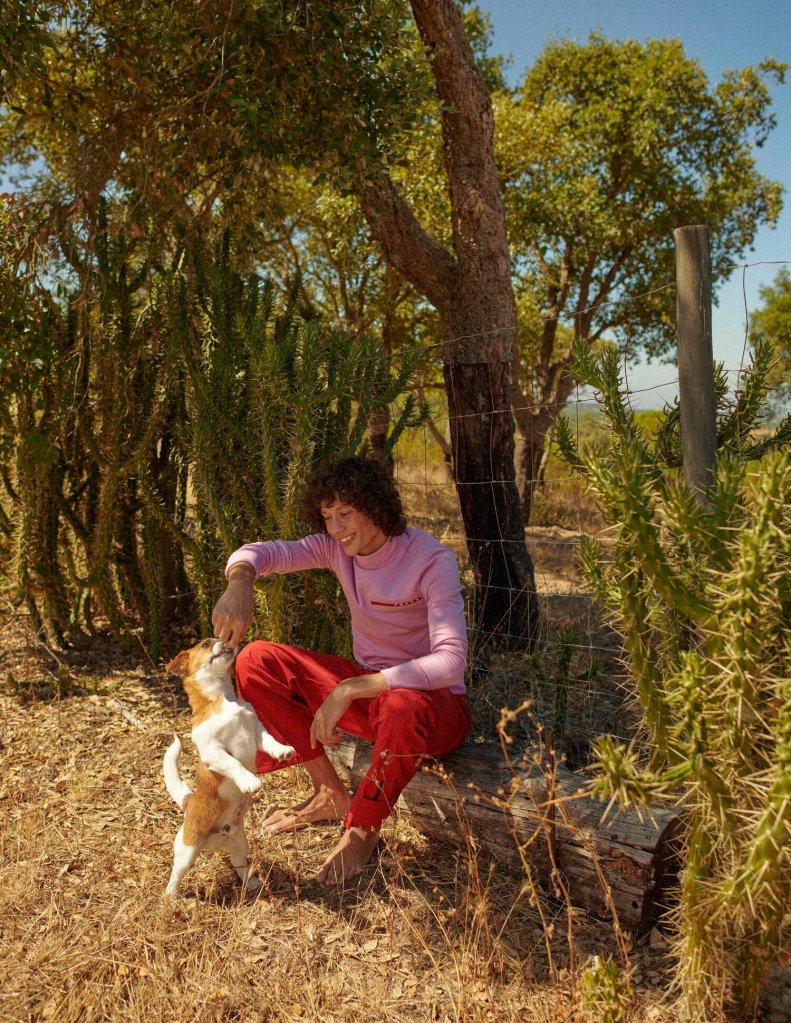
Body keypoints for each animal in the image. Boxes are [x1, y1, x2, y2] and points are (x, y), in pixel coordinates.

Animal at [162, 639, 296, 897]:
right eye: (205, 644)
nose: (225, 640)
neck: (222, 698)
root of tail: (188, 802)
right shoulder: (212, 750)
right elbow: (233, 763)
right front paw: (249, 781)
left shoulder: (257, 732)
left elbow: (270, 741)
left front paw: (282, 750)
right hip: (186, 851)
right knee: (175, 876)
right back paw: (169, 899)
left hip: (240, 844)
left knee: (240, 866)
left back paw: (252, 884)